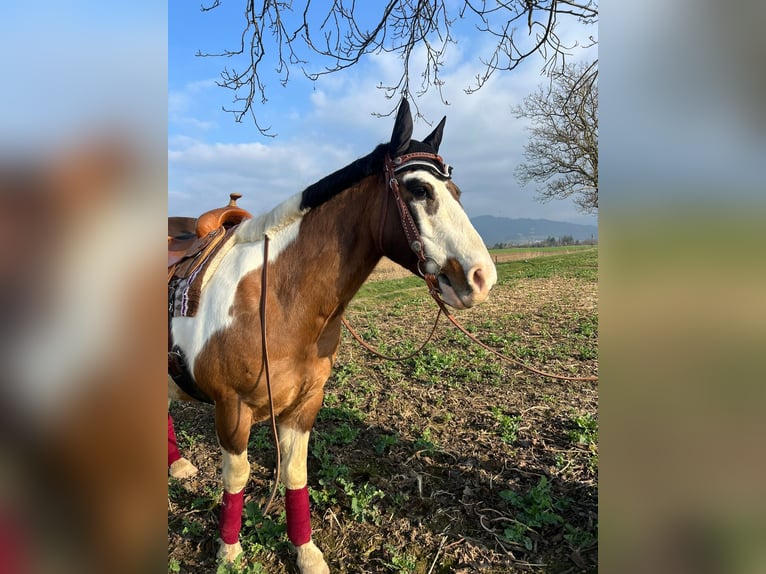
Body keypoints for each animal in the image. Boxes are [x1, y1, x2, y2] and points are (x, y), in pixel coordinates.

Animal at [167, 101, 498, 572]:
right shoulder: (232, 410)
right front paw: (229, 552)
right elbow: (237, 478)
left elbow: (295, 474)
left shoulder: (305, 404)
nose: (482, 277)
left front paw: (306, 552)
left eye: (456, 191)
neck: (278, 297)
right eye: (419, 190)